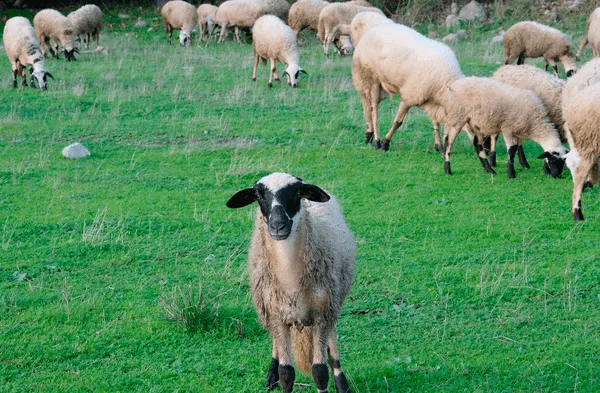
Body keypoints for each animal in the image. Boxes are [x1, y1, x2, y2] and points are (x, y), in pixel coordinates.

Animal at [227, 172, 354, 393]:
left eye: (297, 193)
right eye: (258, 195)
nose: (278, 226)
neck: (291, 279)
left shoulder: (322, 313)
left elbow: (320, 371)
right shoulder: (276, 315)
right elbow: (287, 373)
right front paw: (277, 374)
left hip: (333, 299)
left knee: (332, 339)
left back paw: (341, 381)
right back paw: (271, 375)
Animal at [352, 22, 464, 152]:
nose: (448, 144)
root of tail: (370, 31)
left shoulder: (431, 100)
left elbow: (436, 123)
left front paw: (439, 146)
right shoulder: (409, 97)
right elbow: (398, 122)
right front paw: (385, 143)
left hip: (376, 85)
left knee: (368, 107)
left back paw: (369, 134)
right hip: (370, 78)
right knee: (374, 110)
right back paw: (377, 141)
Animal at [440, 77, 568, 178]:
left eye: (563, 162)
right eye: (553, 160)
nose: (557, 176)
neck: (536, 123)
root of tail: (454, 84)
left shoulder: (517, 131)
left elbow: (515, 149)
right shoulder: (508, 129)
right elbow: (511, 150)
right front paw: (511, 174)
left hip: (473, 123)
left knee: (478, 146)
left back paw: (489, 170)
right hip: (457, 117)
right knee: (448, 142)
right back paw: (447, 169)